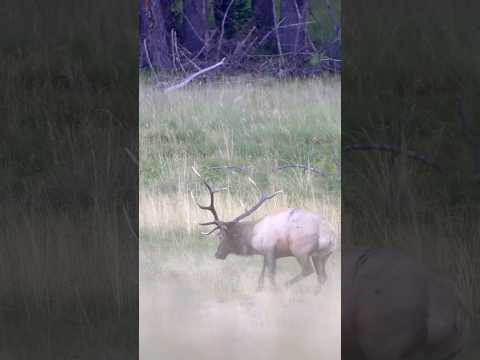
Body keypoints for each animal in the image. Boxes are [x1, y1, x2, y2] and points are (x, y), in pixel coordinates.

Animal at [189, 167, 336, 292]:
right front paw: (259, 289)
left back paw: (286, 286)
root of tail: (329, 236)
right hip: (323, 255)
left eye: (221, 236)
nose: (217, 254)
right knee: (322, 277)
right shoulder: (267, 253)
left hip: (300, 250)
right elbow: (262, 273)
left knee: (308, 271)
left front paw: (273, 289)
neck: (251, 238)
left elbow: (270, 274)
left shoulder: (269, 249)